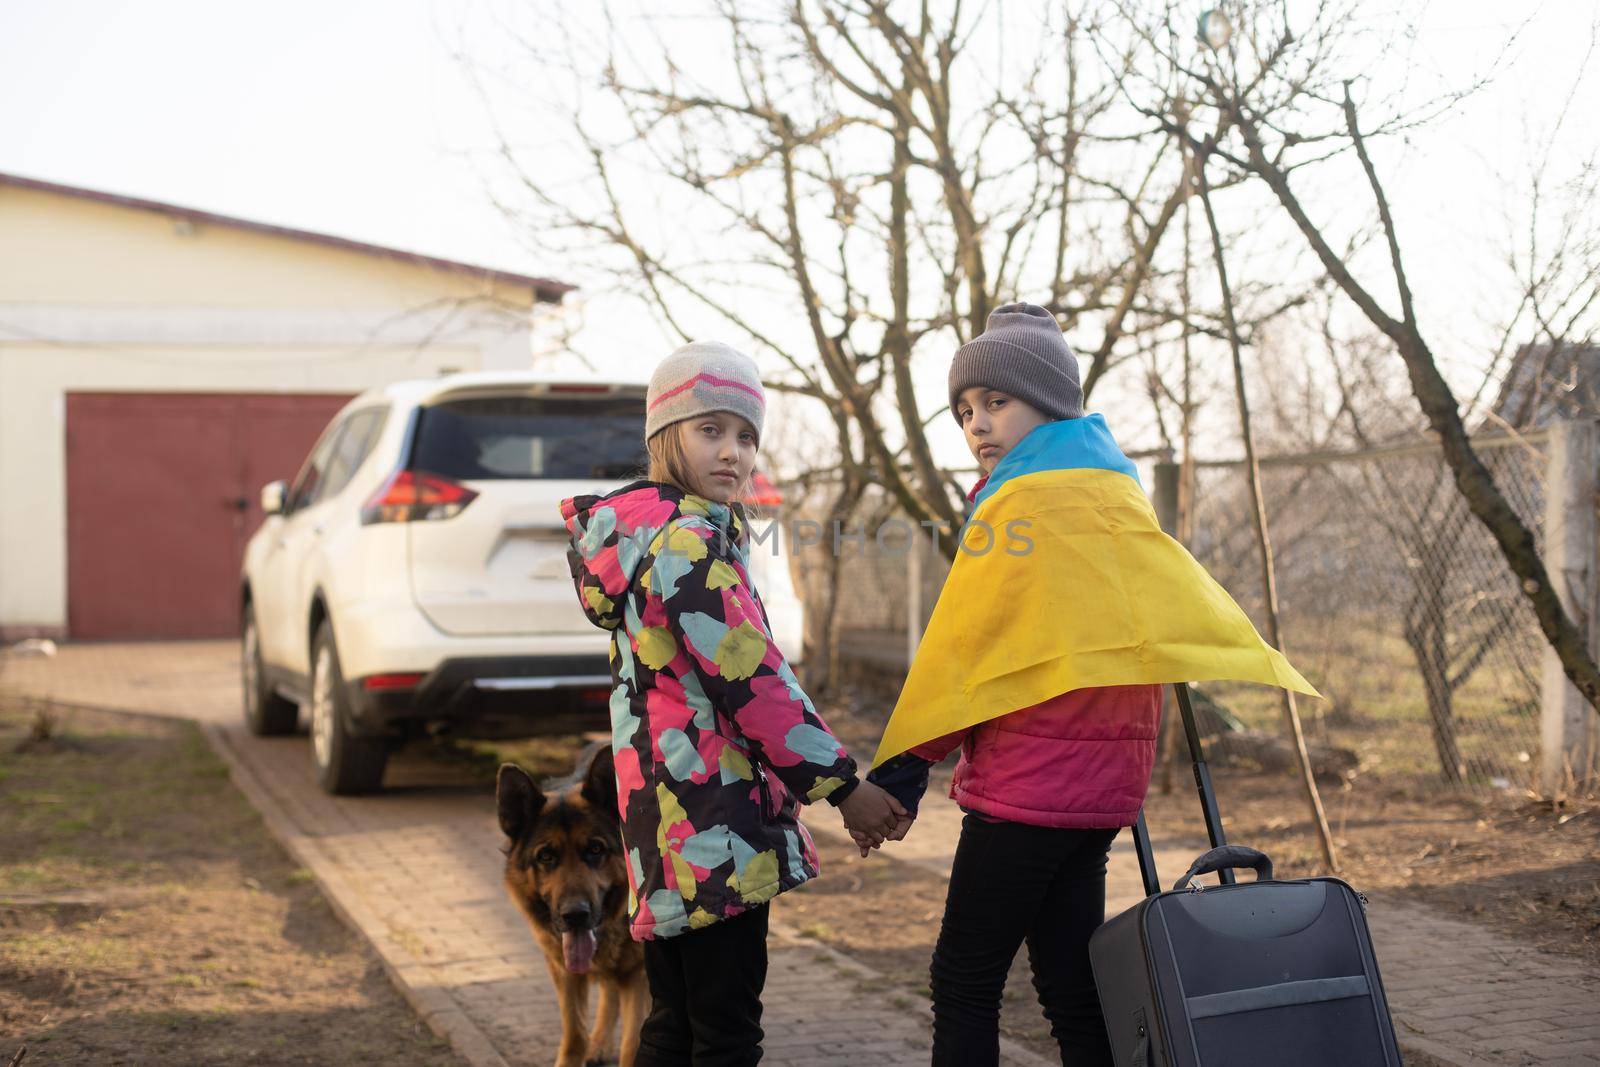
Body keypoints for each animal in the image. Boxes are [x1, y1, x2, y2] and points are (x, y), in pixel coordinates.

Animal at [499, 742, 649, 1067]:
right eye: (546, 856)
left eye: (595, 849)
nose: (575, 915)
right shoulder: (563, 970)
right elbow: (574, 1033)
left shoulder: (639, 974)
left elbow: (633, 1043)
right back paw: (599, 1044)